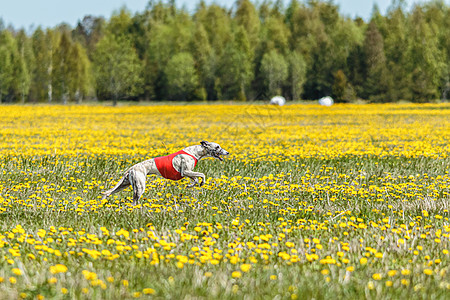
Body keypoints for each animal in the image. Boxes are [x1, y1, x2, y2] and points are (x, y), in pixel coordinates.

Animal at [101, 141, 229, 204]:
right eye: (218, 147)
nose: (227, 152)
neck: (195, 151)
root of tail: (131, 168)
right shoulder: (185, 171)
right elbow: (202, 174)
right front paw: (202, 183)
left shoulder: (188, 172)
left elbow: (195, 178)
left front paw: (190, 185)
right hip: (140, 186)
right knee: (135, 200)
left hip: (125, 184)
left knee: (109, 193)